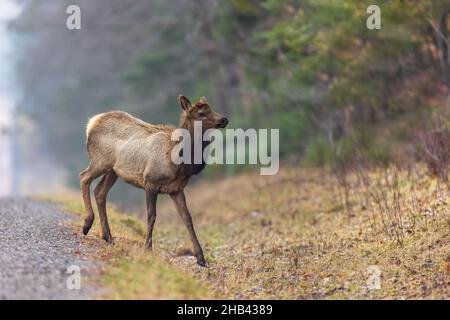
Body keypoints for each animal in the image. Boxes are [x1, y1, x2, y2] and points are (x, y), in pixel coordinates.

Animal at [80, 96, 229, 266]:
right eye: (201, 113)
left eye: (211, 109)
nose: (224, 119)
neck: (179, 162)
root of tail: (92, 123)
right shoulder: (150, 182)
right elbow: (151, 215)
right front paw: (148, 249)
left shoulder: (176, 189)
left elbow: (188, 218)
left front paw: (201, 258)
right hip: (100, 160)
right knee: (84, 177)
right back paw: (87, 224)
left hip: (113, 171)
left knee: (99, 192)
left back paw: (108, 237)